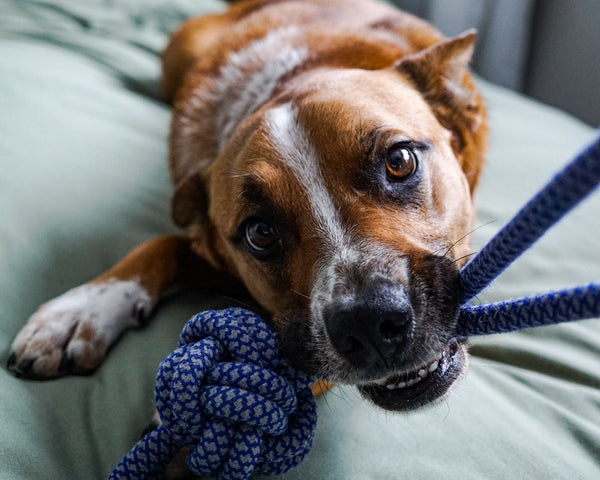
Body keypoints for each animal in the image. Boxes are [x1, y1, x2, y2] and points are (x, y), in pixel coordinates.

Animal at [8, 0, 488, 412]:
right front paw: (81, 311)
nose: (367, 324)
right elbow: (164, 243)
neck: (296, 75)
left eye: (399, 161)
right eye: (260, 233)